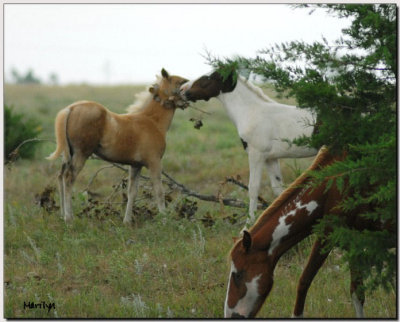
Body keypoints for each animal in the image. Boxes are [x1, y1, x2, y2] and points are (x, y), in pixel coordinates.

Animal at [46, 68, 190, 224]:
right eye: (179, 83)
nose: (187, 101)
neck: (152, 121)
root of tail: (71, 108)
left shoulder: (136, 165)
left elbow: (132, 192)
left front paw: (127, 221)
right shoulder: (154, 162)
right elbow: (159, 191)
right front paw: (165, 220)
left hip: (68, 154)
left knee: (60, 176)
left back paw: (62, 215)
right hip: (81, 154)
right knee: (68, 177)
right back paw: (69, 218)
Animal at [180, 69, 318, 228]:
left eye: (208, 77)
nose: (182, 89)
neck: (252, 112)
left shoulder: (256, 155)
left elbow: (253, 188)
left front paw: (248, 225)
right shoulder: (270, 158)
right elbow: (279, 190)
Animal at [225, 147, 394, 318]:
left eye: (238, 275)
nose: (230, 315)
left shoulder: (328, 234)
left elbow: (304, 280)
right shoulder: (353, 240)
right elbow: (357, 292)